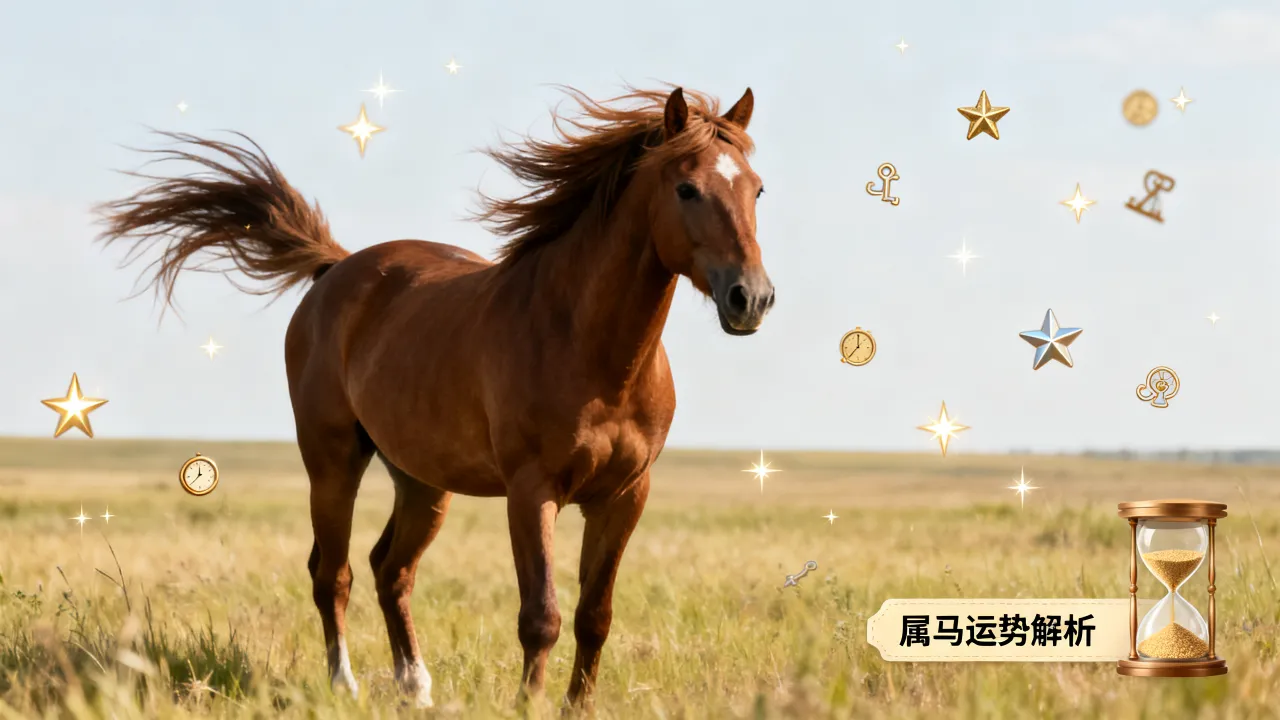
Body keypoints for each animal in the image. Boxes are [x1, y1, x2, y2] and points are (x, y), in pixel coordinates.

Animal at [96, 85, 774, 710]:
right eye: (686, 189)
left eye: (757, 190)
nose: (752, 298)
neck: (591, 349)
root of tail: (336, 270)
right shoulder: (532, 492)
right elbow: (542, 617)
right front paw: (528, 705)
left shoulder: (625, 496)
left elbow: (593, 617)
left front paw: (576, 708)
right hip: (332, 464)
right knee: (333, 573)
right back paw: (345, 685)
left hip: (423, 483)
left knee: (390, 569)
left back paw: (415, 688)